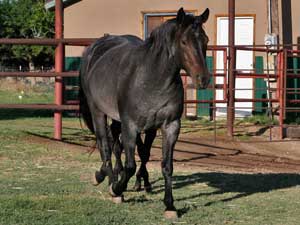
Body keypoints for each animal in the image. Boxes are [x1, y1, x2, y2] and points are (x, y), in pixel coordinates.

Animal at [79, 8, 211, 218]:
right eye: (184, 42)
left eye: (205, 40)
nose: (203, 79)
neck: (151, 78)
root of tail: (94, 49)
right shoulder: (131, 126)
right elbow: (131, 165)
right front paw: (117, 189)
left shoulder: (169, 126)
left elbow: (165, 165)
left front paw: (170, 206)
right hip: (97, 111)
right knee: (105, 145)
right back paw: (108, 182)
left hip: (118, 120)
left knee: (114, 144)